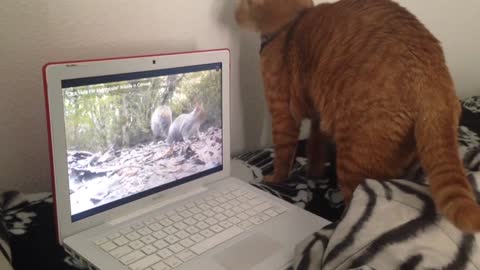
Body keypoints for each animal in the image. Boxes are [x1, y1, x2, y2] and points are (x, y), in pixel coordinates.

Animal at [233, 0, 480, 232]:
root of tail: (433, 77)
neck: (291, 23)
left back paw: (337, 226)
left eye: (243, 5)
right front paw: (313, 172)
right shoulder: (318, 116)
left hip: (353, 158)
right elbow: (315, 146)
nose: (234, 14)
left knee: (354, 202)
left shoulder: (283, 114)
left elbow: (283, 156)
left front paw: (275, 179)